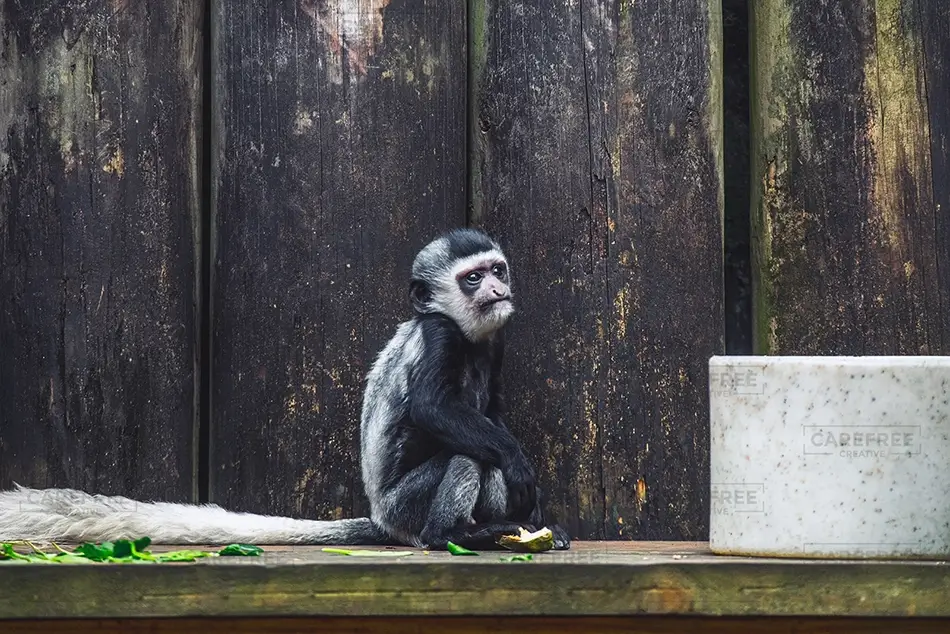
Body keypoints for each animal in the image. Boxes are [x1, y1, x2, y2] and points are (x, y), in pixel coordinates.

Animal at [0, 228, 571, 551]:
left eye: (497, 270)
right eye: (472, 279)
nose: (496, 289)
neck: (469, 337)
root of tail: (383, 520)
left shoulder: (494, 344)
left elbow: (491, 413)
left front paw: (534, 512)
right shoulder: (439, 334)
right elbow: (436, 409)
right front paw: (521, 467)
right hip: (405, 506)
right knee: (470, 456)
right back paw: (453, 535)